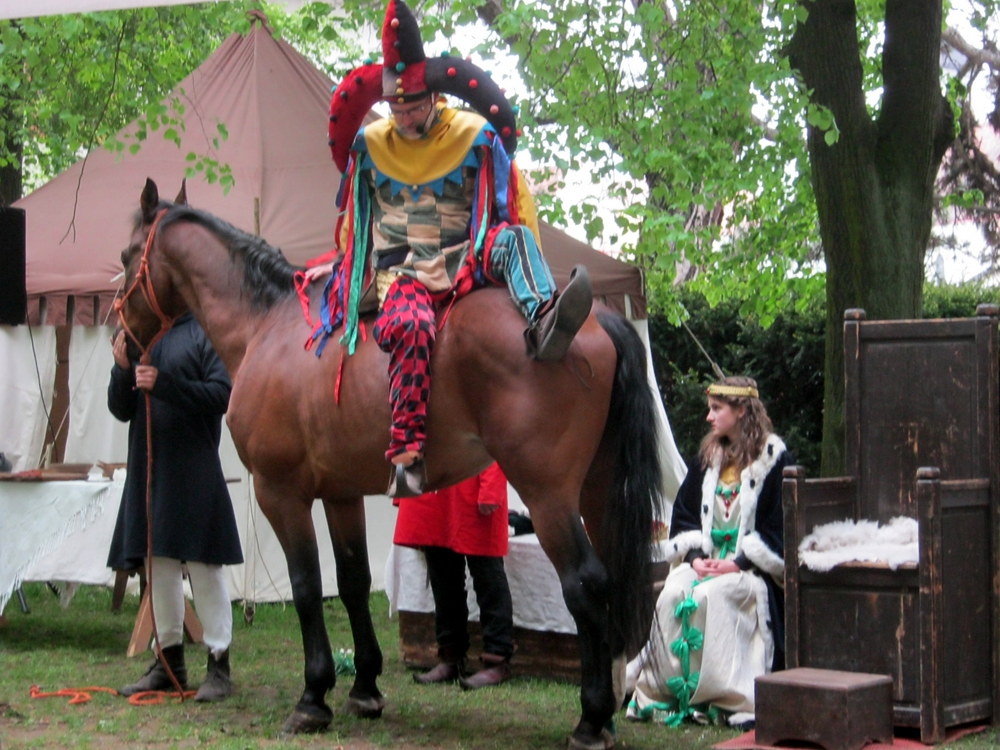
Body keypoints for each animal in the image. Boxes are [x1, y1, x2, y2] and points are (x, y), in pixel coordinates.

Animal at [116, 178, 663, 750]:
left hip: (548, 494)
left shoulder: (279, 492)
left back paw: (591, 719)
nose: (122, 338)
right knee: (616, 576)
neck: (266, 326)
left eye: (127, 256)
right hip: (598, 490)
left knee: (585, 583)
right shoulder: (340, 493)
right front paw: (364, 688)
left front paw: (313, 696)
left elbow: (307, 585)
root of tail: (585, 317)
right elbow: (353, 581)